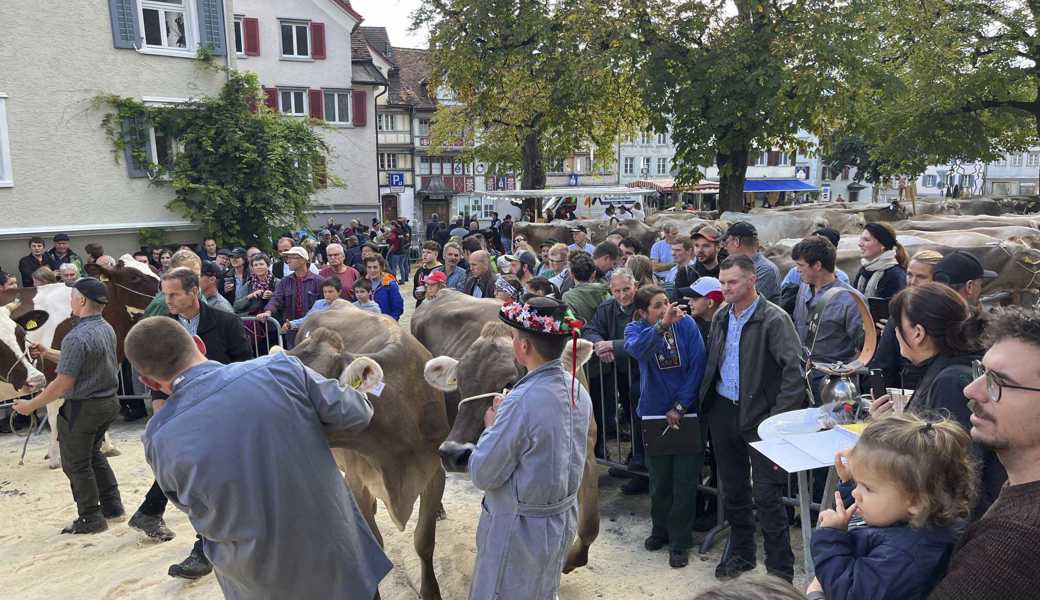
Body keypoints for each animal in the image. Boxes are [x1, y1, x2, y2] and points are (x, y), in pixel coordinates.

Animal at [0, 257, 158, 467]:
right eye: (134, 277)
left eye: (154, 269)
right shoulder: (53, 374)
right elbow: (53, 412)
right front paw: (55, 457)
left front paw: (107, 446)